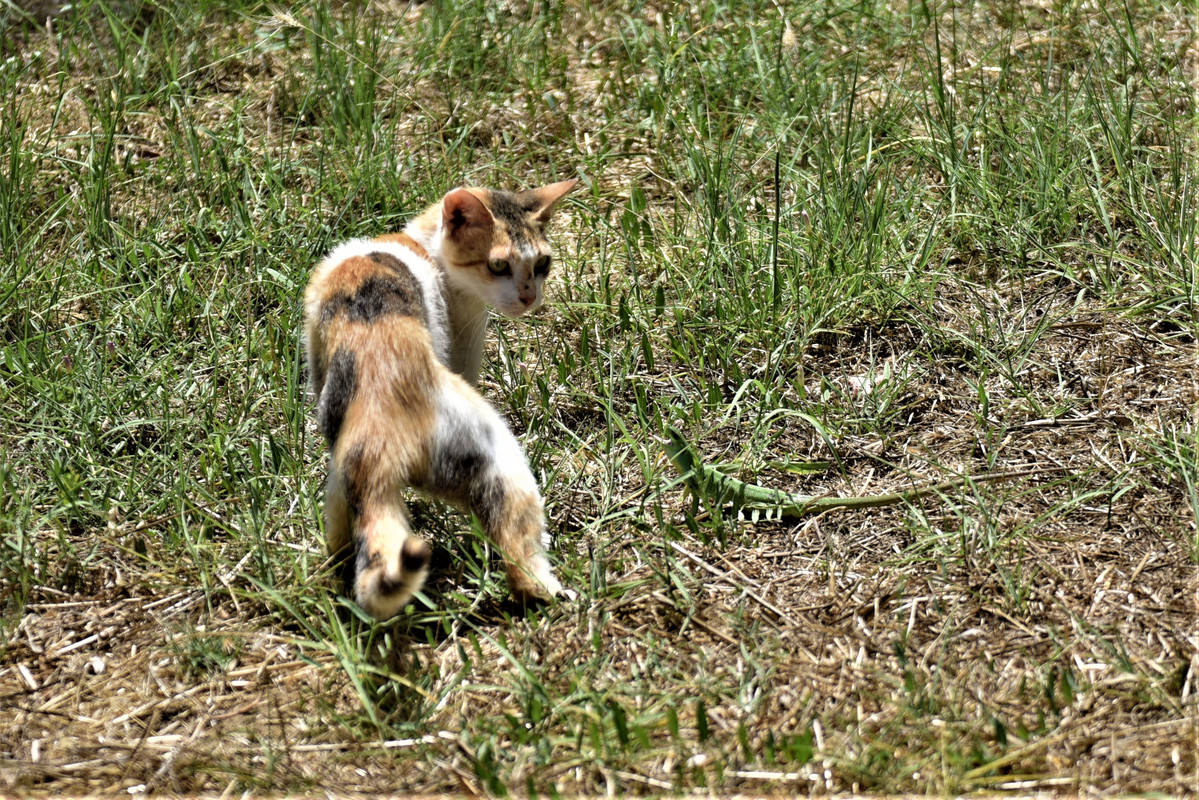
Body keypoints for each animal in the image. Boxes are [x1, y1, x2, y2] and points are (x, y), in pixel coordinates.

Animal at [304, 179, 575, 618]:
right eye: (498, 266)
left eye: (542, 264)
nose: (529, 296)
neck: (420, 244)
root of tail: (379, 428)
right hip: (495, 453)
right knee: (521, 558)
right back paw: (550, 591)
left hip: (346, 468)